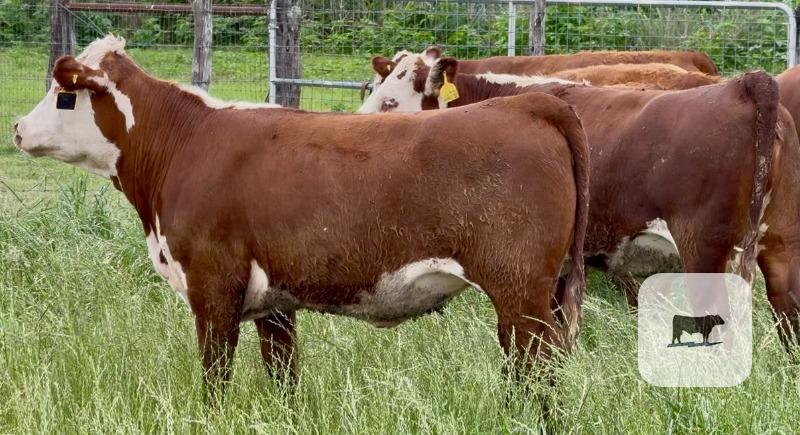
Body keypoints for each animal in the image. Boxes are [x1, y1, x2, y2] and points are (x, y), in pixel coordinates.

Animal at [13, 36, 591, 392]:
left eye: (63, 95)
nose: (17, 128)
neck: (186, 142)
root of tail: (529, 104)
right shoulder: (274, 302)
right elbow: (282, 381)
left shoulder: (212, 288)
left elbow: (214, 381)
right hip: (543, 297)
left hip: (521, 294)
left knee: (536, 378)